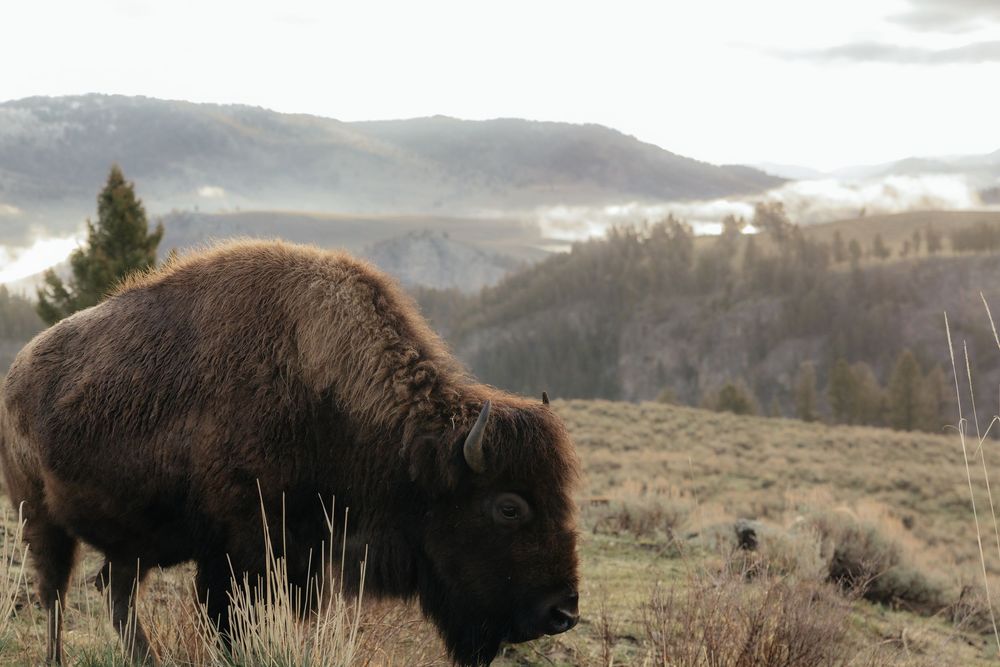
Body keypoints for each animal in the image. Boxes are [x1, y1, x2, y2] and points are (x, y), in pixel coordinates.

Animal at [0, 240, 580, 665]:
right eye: (509, 507)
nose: (563, 613)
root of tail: (18, 369)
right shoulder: (240, 551)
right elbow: (226, 622)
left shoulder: (304, 557)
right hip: (41, 520)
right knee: (55, 595)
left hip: (130, 543)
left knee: (117, 597)